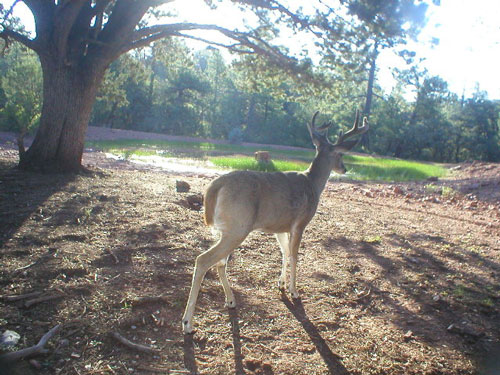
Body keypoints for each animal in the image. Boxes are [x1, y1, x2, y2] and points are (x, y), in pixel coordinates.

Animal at [182, 110, 370, 334]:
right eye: (340, 155)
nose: (344, 168)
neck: (313, 184)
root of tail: (214, 188)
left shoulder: (280, 227)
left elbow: (285, 253)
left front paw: (280, 284)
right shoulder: (300, 223)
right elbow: (295, 255)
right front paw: (294, 290)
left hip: (225, 229)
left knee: (220, 262)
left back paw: (230, 300)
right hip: (237, 227)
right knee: (203, 260)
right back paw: (188, 323)